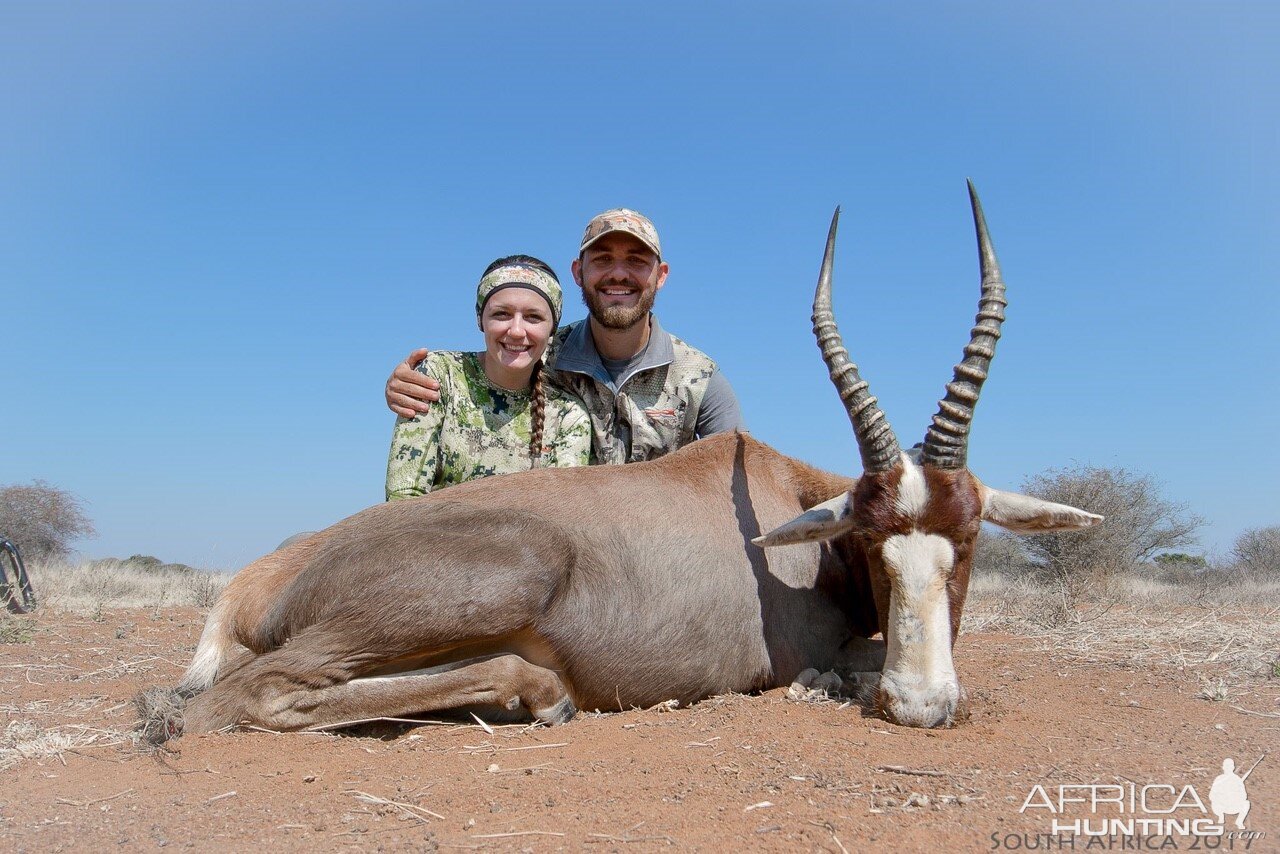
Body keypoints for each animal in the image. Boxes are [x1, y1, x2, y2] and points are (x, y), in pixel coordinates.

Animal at [157, 184, 1100, 737]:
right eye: (871, 545)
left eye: (969, 541)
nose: (920, 706)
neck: (779, 490)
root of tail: (268, 575)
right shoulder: (817, 652)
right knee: (245, 697)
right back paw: (540, 694)